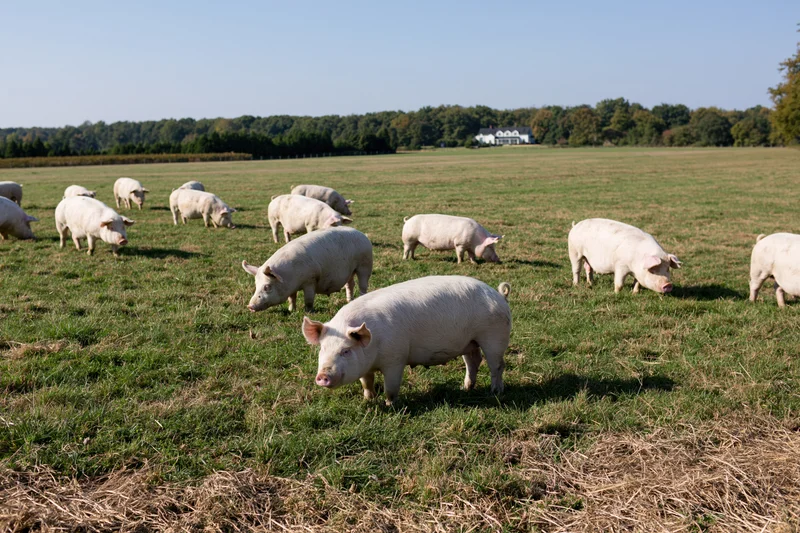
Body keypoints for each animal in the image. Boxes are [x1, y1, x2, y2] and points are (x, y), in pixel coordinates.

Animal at [242, 226, 372, 312]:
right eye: (256, 285)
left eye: (267, 287)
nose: (250, 306)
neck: (290, 275)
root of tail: (361, 234)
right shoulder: (291, 287)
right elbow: (292, 298)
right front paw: (291, 310)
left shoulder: (310, 280)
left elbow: (308, 298)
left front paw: (308, 312)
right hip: (350, 270)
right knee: (350, 284)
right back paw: (349, 301)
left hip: (364, 265)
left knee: (363, 285)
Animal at [303, 275, 512, 406]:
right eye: (322, 349)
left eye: (346, 350)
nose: (323, 376)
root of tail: (499, 295)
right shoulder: (365, 366)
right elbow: (366, 382)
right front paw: (368, 399)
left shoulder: (396, 358)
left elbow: (391, 386)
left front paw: (390, 405)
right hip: (469, 342)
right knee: (473, 361)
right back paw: (466, 388)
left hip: (494, 336)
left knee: (497, 365)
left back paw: (495, 392)